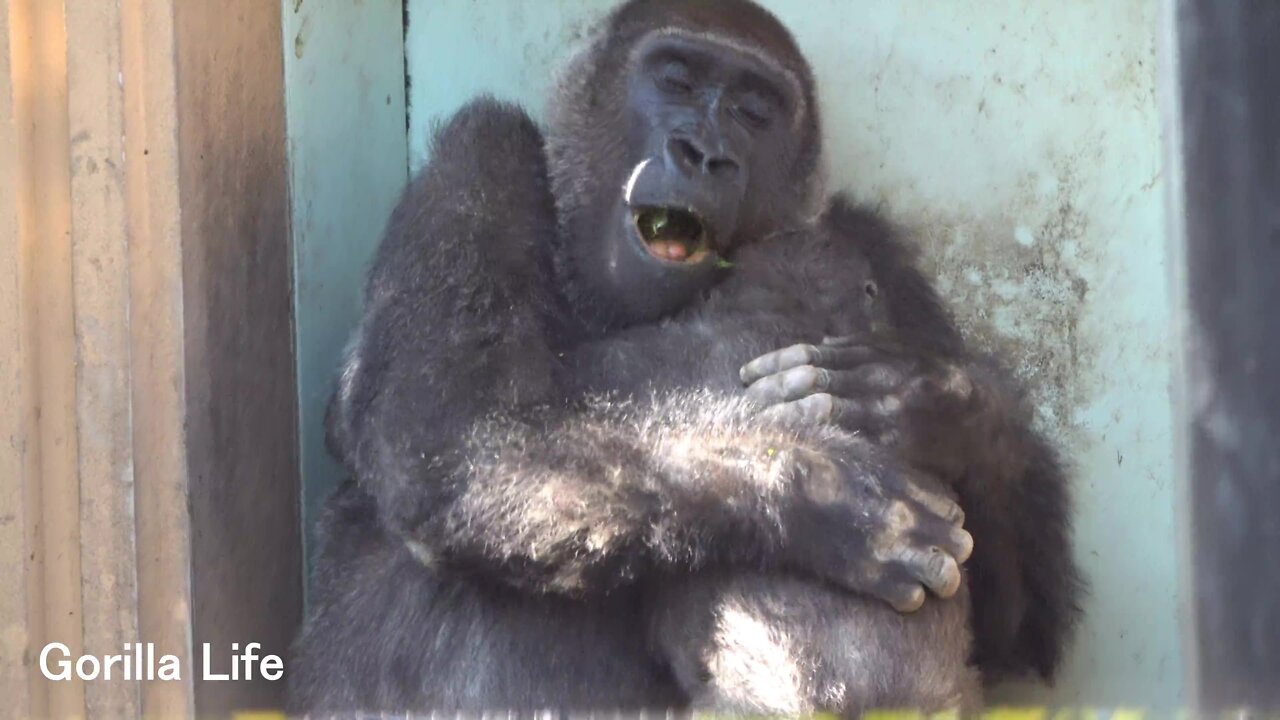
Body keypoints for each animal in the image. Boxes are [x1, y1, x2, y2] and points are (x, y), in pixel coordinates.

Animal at [290, 0, 1080, 712]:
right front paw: (823, 498)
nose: (702, 154)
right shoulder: (479, 156)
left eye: (755, 111)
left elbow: (1015, 639)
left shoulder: (873, 246)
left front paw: (940, 405)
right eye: (674, 79)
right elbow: (450, 429)